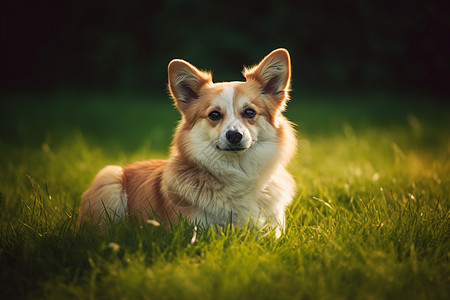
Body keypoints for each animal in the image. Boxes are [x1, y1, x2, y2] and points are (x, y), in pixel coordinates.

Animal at [79, 48, 298, 234]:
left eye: (250, 112)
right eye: (214, 115)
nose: (234, 135)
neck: (237, 170)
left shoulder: (273, 230)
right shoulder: (194, 230)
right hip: (110, 178)